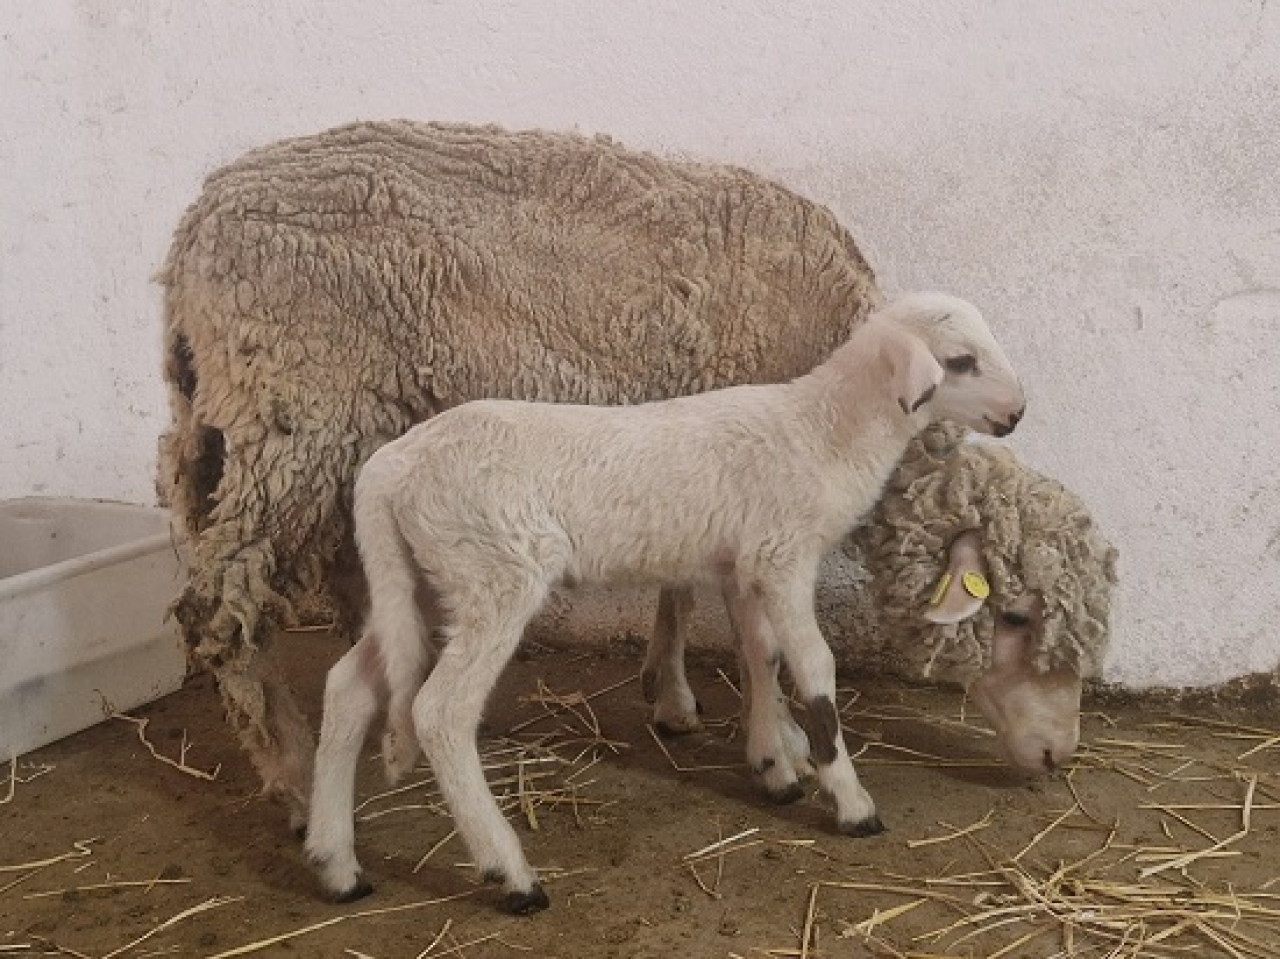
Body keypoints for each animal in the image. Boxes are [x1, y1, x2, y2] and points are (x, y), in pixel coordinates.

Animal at [154, 117, 880, 829]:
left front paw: (674, 695)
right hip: (297, 414)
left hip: (265, 431)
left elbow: (681, 588)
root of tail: (194, 228)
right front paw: (780, 742)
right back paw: (295, 777)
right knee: (221, 604)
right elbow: (753, 628)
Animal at [307, 291, 1029, 911]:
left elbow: (760, 658)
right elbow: (815, 669)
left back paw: (336, 864)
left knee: (348, 686)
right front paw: (848, 799)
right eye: (960, 361)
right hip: (494, 570)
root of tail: (389, 469)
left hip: (422, 580)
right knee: (439, 711)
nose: (1018, 414)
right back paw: (509, 872)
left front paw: (774, 763)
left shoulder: (744, 565)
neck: (824, 431)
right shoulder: (783, 556)